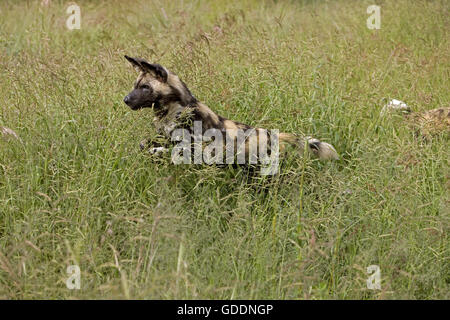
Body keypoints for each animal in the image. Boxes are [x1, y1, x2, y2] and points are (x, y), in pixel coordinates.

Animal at [123, 55, 338, 168]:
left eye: (145, 87)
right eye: (135, 85)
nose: (125, 100)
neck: (172, 111)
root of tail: (272, 133)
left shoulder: (194, 147)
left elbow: (162, 150)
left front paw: (156, 153)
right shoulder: (165, 137)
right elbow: (144, 144)